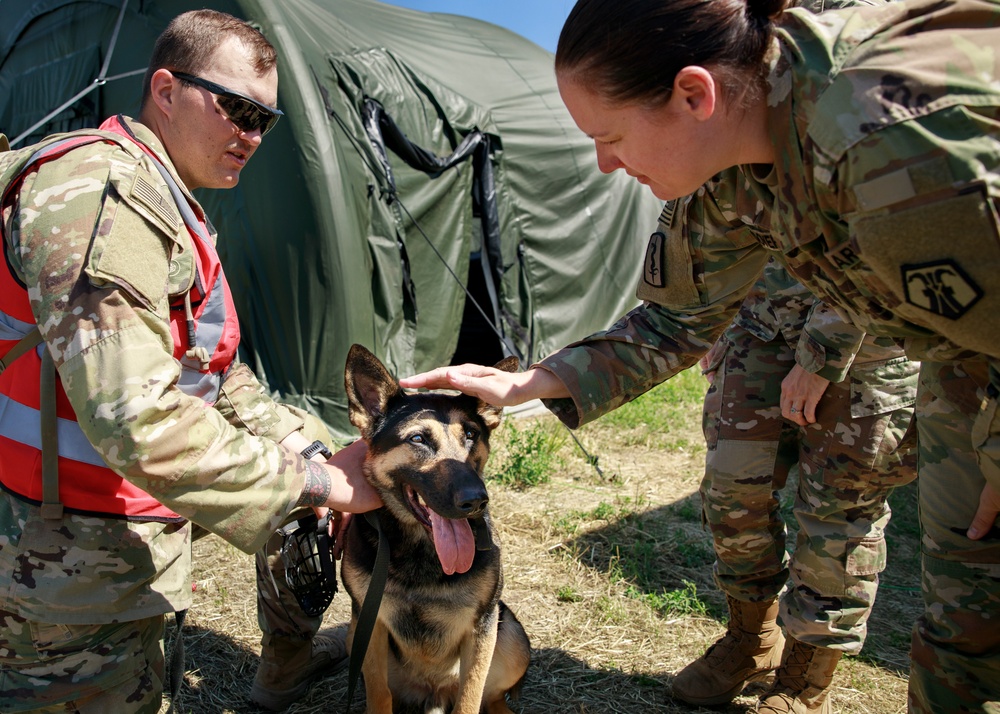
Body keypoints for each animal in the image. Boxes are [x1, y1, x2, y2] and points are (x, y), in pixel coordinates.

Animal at [340, 342, 532, 708]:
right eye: (418, 439)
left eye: (471, 434)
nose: (476, 500)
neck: (422, 551)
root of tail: (433, 693)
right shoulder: (369, 623)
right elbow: (379, 694)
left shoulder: (482, 625)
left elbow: (470, 698)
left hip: (510, 633)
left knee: (491, 697)